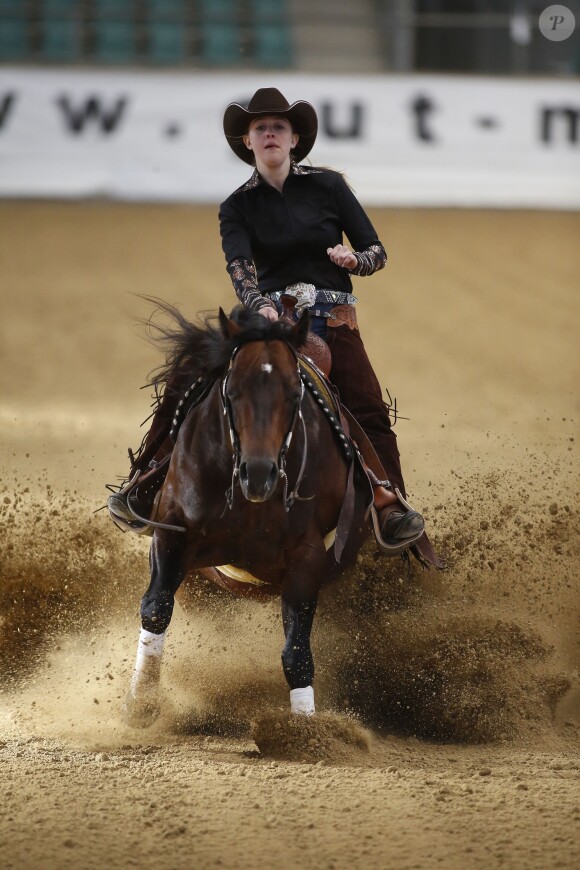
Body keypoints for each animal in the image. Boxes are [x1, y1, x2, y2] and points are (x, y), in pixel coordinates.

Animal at [123, 303, 373, 726]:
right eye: (232, 391)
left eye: (294, 394)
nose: (258, 473)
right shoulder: (171, 534)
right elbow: (156, 610)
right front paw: (139, 706)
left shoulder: (307, 558)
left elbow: (296, 652)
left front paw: (305, 730)